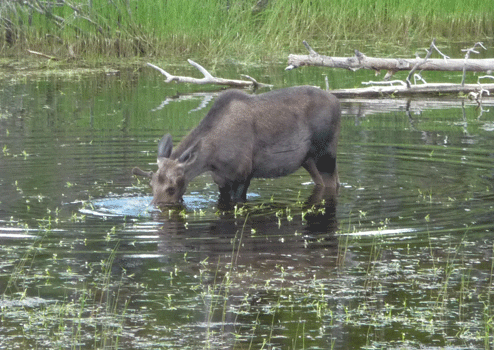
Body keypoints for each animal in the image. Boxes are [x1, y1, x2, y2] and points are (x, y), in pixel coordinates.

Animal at [131, 85, 340, 205]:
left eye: (172, 188)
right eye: (151, 185)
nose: (155, 208)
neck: (211, 158)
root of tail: (337, 102)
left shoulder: (243, 176)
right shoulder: (221, 180)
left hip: (326, 155)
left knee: (332, 183)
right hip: (308, 160)